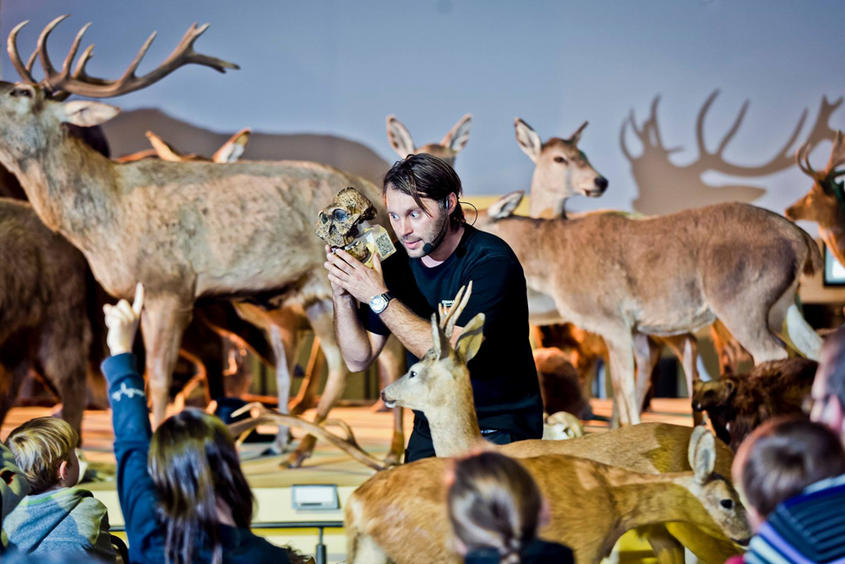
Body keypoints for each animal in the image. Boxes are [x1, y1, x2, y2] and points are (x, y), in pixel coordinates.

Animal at [478, 192, 820, 426]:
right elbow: (627, 383)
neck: (551, 268)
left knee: (773, 352)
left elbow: (625, 385)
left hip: (741, 305)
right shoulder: (633, 329)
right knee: (814, 347)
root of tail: (803, 239)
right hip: (785, 307)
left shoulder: (612, 320)